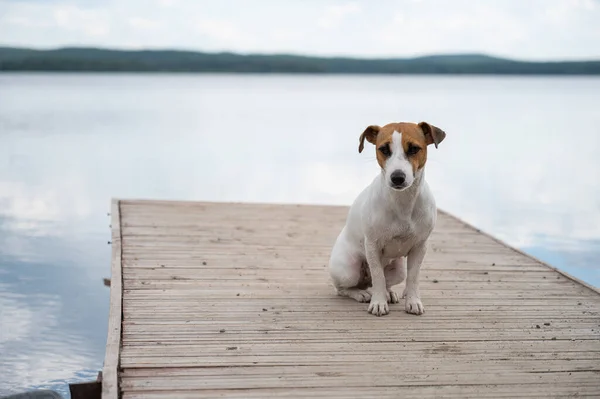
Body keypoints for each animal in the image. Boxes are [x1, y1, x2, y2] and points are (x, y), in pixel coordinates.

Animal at [328, 120, 446, 318]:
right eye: (383, 149)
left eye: (414, 149)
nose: (397, 177)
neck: (402, 202)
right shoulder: (372, 245)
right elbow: (377, 276)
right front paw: (378, 303)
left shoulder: (419, 246)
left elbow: (413, 278)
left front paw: (413, 301)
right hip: (348, 270)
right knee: (344, 288)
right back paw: (361, 293)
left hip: (398, 270)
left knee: (386, 282)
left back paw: (388, 293)